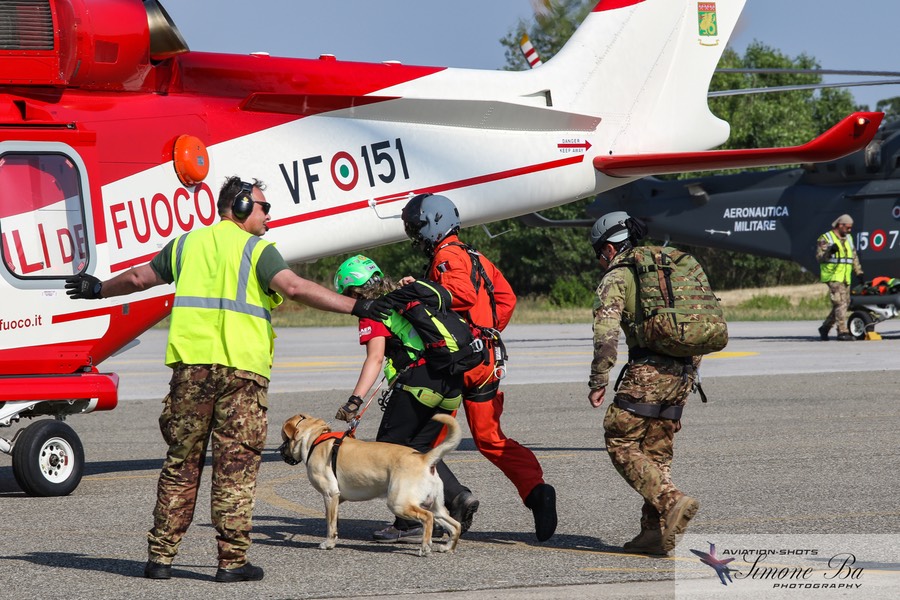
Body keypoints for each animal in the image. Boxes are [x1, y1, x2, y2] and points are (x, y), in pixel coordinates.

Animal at [280, 414, 464, 556]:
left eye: (284, 438)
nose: (281, 452)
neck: (314, 439)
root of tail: (424, 459)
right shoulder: (337, 497)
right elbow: (333, 519)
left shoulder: (330, 494)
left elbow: (330, 523)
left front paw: (329, 543)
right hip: (435, 506)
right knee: (456, 525)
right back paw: (448, 547)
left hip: (399, 503)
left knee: (428, 518)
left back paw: (425, 547)